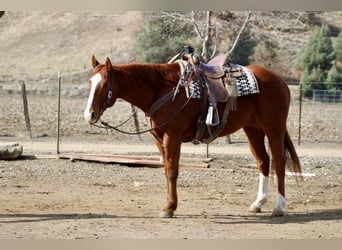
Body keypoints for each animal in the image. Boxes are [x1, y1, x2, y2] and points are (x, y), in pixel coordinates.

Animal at [83, 54, 302, 217]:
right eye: (90, 83)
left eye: (105, 85)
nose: (89, 114)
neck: (162, 89)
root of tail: (279, 80)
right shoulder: (158, 139)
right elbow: (166, 170)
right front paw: (170, 205)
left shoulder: (172, 136)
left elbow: (172, 171)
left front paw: (169, 208)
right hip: (252, 129)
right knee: (263, 161)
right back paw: (258, 203)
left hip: (274, 128)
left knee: (279, 162)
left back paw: (278, 207)